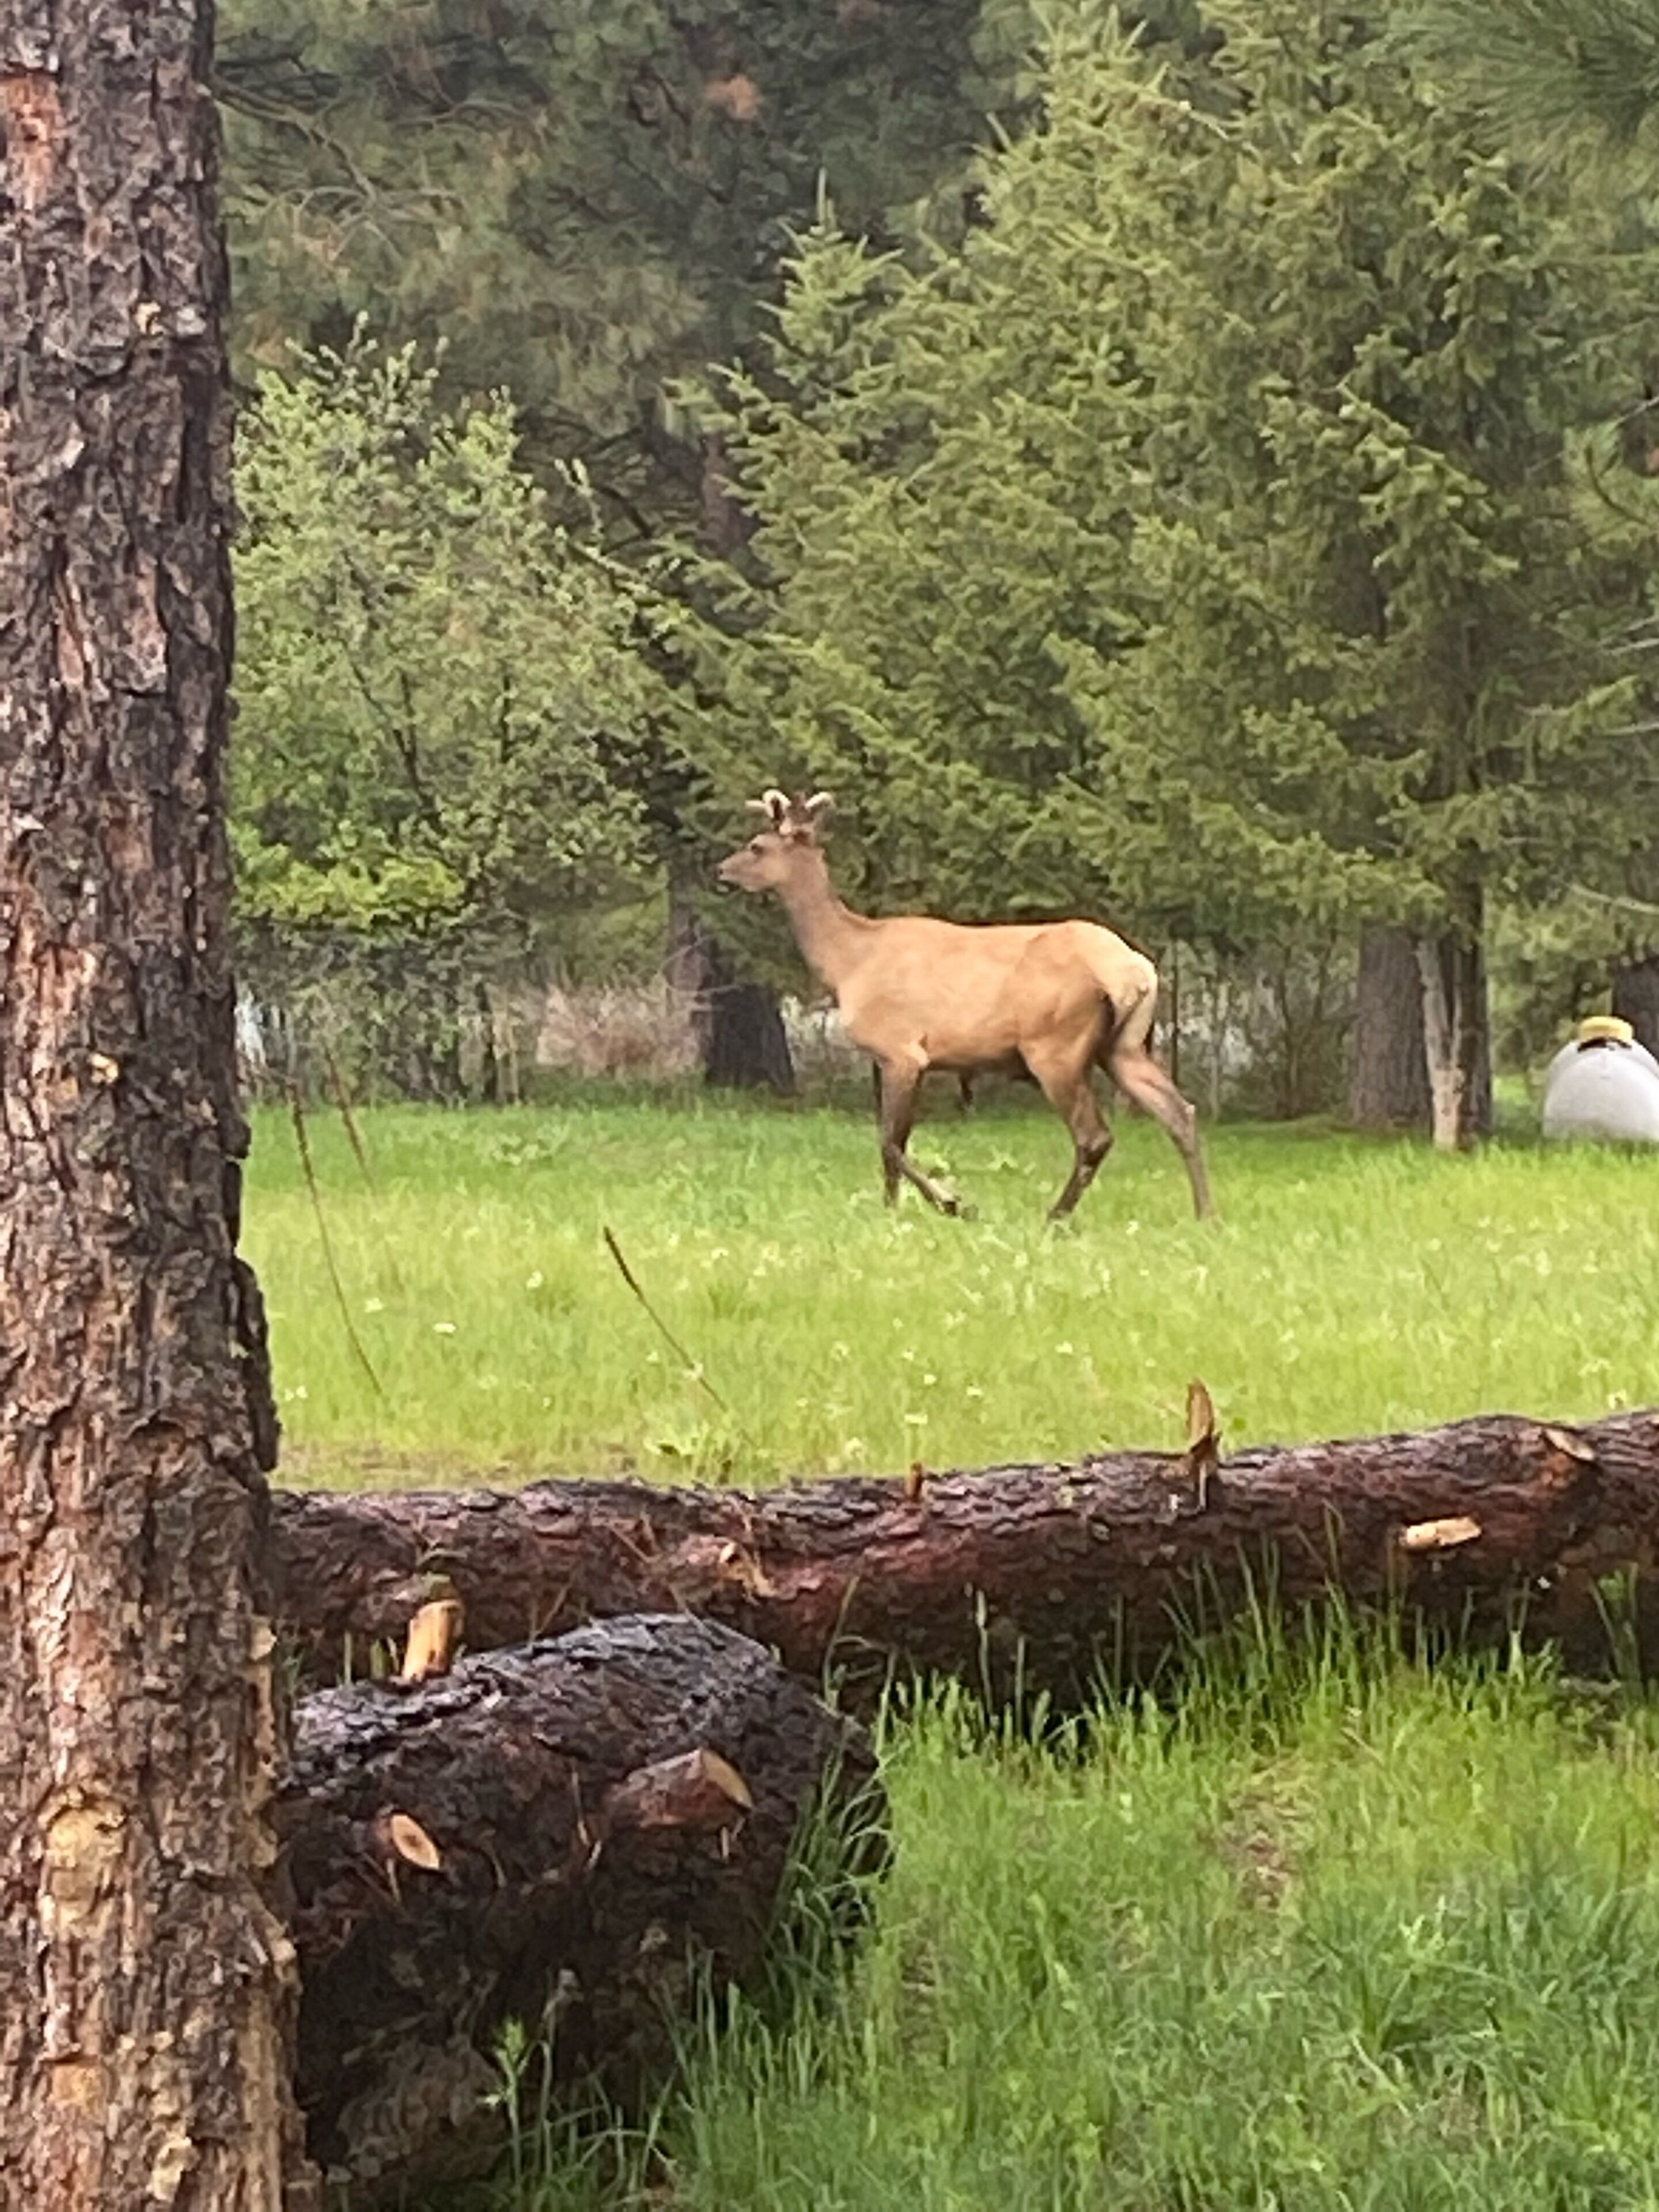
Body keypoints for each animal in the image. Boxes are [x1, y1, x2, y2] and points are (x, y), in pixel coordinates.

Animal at [717, 789, 1213, 1222]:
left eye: (757, 846)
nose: (723, 870)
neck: (848, 963)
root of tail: (1136, 972)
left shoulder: (902, 1052)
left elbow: (890, 1142)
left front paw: (950, 1203)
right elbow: (893, 1143)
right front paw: (892, 1211)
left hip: (1056, 1046)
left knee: (1094, 1136)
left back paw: (1055, 1216)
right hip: (1123, 1047)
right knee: (1181, 1112)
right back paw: (1205, 1214)